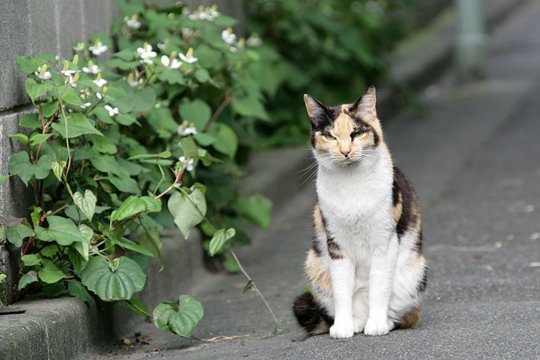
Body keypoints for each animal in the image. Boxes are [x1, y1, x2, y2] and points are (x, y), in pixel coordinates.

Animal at [294, 87, 428, 338]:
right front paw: (343, 327)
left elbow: (379, 288)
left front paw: (376, 325)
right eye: (330, 136)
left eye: (356, 133)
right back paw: (356, 323)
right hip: (315, 266)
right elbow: (342, 290)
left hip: (414, 272)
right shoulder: (336, 245)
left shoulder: (384, 242)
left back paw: (381, 322)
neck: (351, 185)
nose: (345, 151)